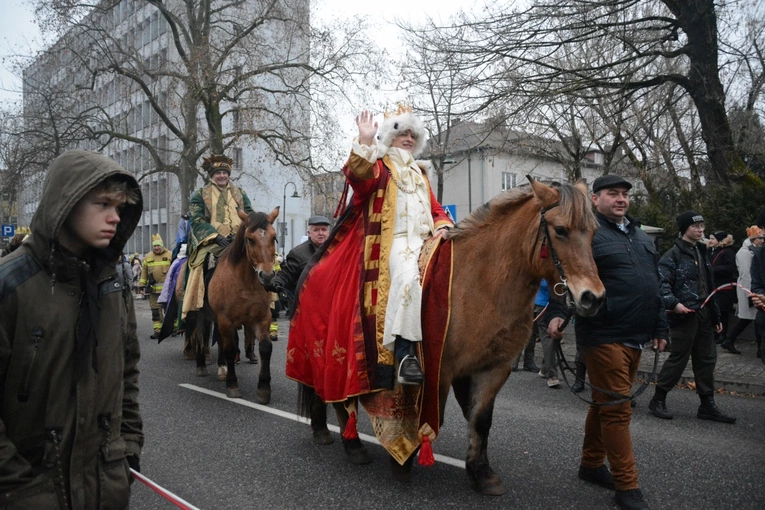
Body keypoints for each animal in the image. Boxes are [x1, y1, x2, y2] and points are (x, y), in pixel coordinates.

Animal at [206, 207, 280, 402]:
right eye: (250, 239)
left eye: (274, 237)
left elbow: (265, 348)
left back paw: (222, 368)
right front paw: (232, 385)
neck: (246, 282)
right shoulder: (226, 319)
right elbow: (231, 349)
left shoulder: (262, 317)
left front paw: (263, 388)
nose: (267, 276)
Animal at [302, 178, 604, 494]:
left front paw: (481, 472)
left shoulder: (493, 368)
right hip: (335, 362)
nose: (592, 297)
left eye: (594, 232)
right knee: (338, 401)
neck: (480, 284)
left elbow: (480, 420)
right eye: (561, 230)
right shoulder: (441, 370)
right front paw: (404, 461)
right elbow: (427, 415)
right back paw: (352, 446)